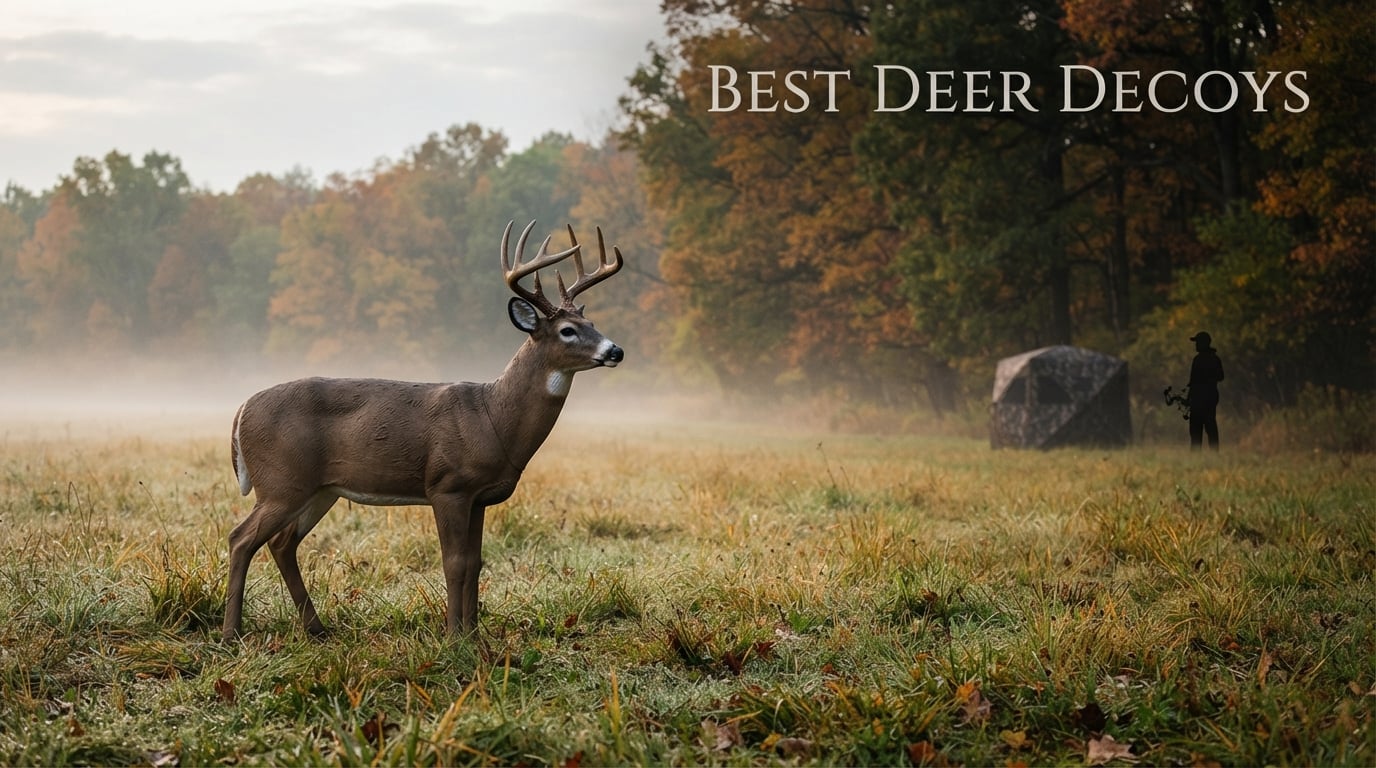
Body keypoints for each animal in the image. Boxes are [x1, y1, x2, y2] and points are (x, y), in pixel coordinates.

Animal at [222, 220, 625, 641]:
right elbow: (455, 562)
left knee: (282, 543)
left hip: (318, 489)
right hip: (280, 482)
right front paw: (453, 637)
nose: (615, 351)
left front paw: (473, 634)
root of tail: (241, 410)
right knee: (240, 538)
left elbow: (476, 563)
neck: (493, 417)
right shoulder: (447, 485)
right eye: (567, 330)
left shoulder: (479, 497)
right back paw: (232, 633)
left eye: (592, 323)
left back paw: (316, 629)